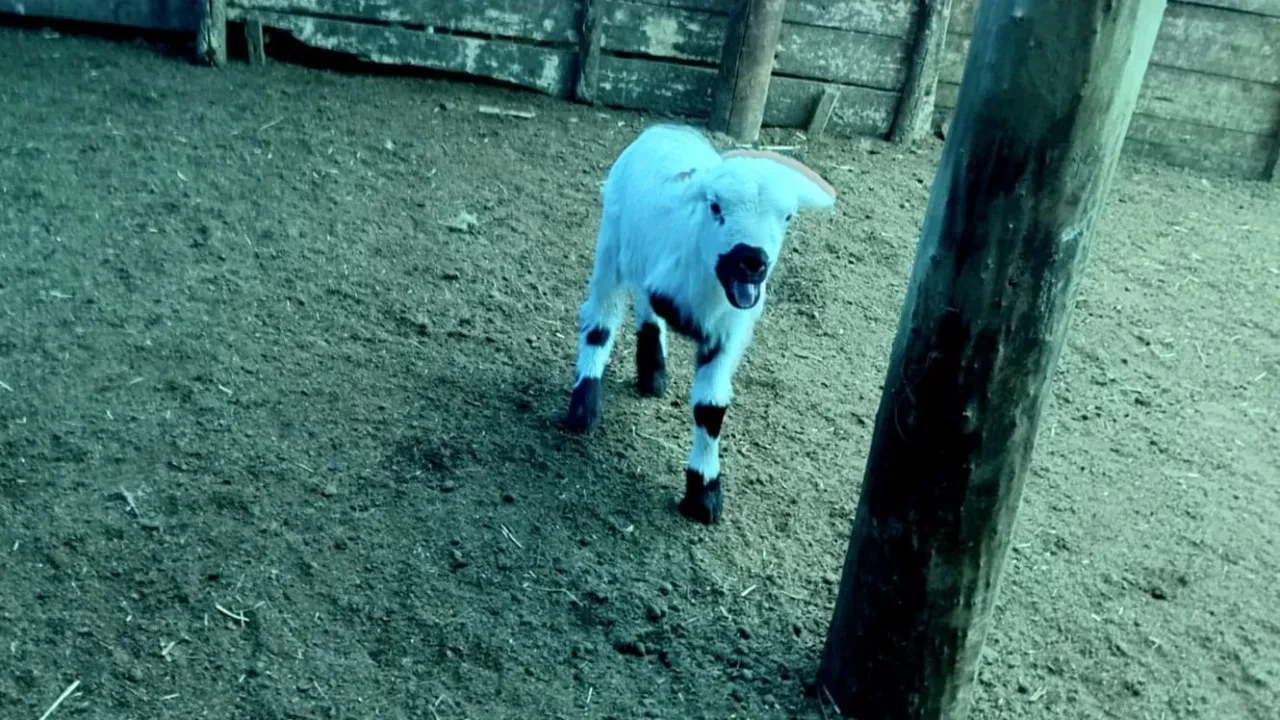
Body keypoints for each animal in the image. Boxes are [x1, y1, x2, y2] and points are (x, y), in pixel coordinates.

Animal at [565, 122, 834, 520]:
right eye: (716, 206)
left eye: (787, 218)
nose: (752, 261)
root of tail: (666, 128)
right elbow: (619, 318)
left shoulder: (728, 335)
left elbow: (710, 409)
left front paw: (704, 494)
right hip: (611, 245)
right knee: (601, 320)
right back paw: (584, 407)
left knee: (644, 307)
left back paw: (652, 374)